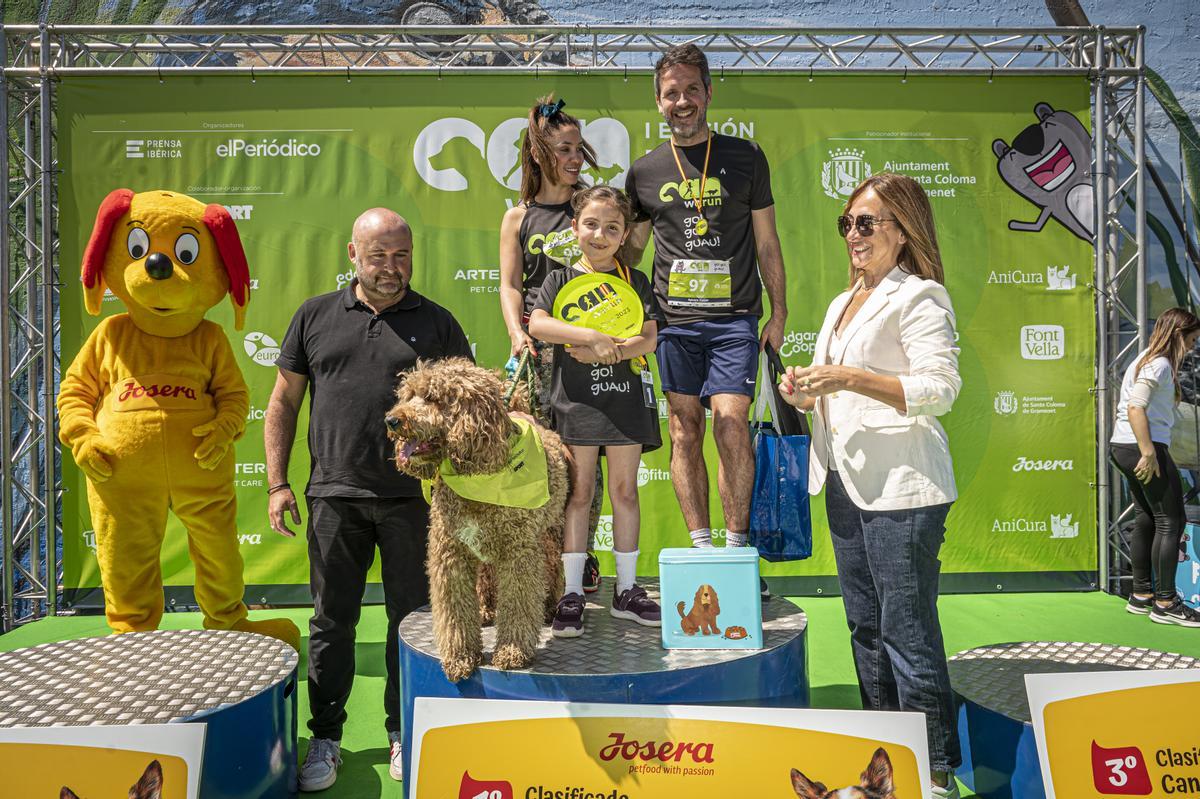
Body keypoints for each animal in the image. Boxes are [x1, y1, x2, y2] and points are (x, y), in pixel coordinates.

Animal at [386, 357, 568, 681]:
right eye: (409, 395)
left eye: (432, 398)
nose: (392, 421)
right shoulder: (451, 553)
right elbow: (455, 612)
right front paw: (461, 656)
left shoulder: (518, 553)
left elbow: (519, 602)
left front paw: (512, 651)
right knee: (485, 576)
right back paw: (485, 609)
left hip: (548, 532)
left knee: (552, 567)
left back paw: (549, 606)